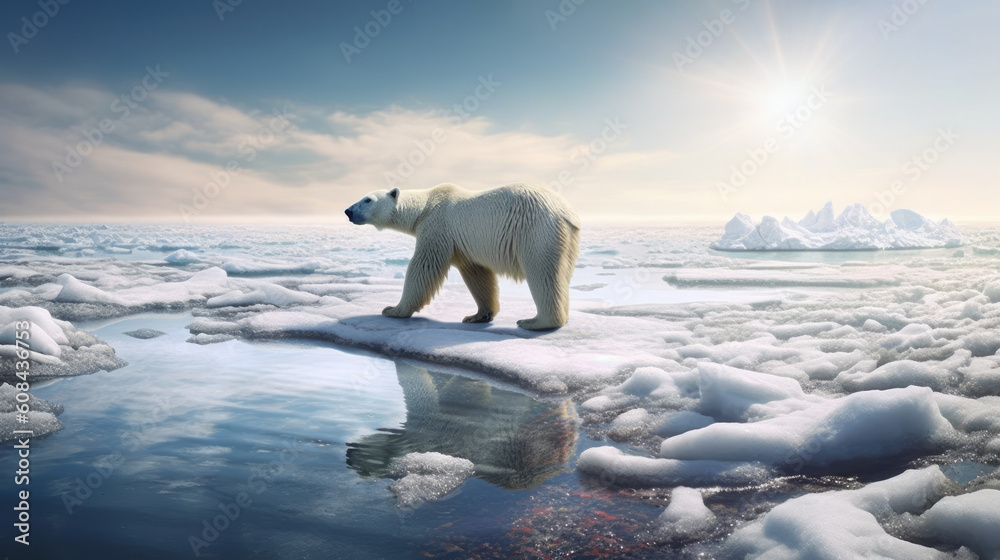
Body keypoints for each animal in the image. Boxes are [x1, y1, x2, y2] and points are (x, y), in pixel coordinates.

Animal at [345, 183, 580, 330]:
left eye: (367, 199)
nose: (348, 211)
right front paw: (478, 315)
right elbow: (477, 274)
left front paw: (393, 309)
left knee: (542, 272)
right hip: (567, 241)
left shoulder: (436, 226)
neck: (425, 206)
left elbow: (423, 267)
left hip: (535, 230)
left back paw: (535, 322)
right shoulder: (462, 245)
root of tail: (568, 213)